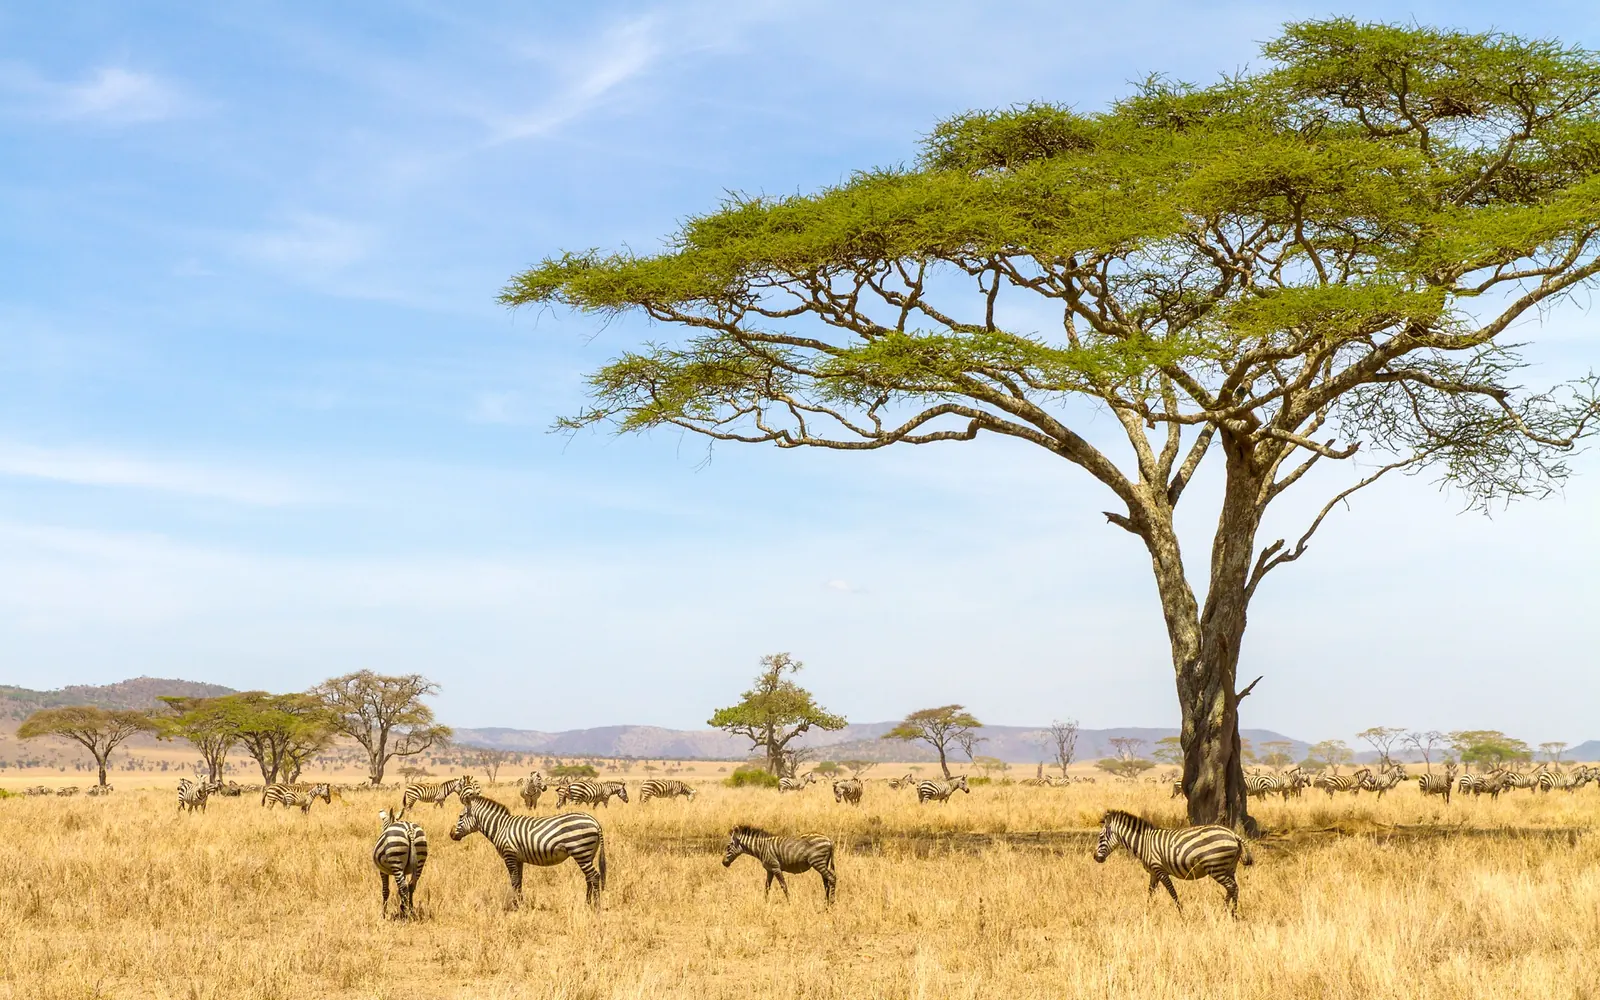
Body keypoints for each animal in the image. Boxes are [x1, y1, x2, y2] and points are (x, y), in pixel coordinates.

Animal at [450, 794, 606, 908]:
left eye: (460, 817)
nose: (451, 835)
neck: (500, 827)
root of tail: (594, 821)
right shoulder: (518, 858)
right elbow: (519, 880)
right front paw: (520, 902)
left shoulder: (509, 855)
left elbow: (514, 880)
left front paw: (516, 905)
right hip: (588, 854)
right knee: (589, 877)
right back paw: (587, 904)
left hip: (581, 851)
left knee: (594, 876)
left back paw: (596, 906)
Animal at [1092, 809, 1253, 917]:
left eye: (1101, 837)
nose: (1095, 858)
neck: (1144, 843)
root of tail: (1234, 834)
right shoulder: (1153, 873)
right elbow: (1150, 892)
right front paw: (1147, 911)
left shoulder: (1160, 869)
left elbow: (1172, 892)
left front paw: (1181, 913)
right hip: (1229, 868)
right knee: (1233, 888)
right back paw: (1226, 912)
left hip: (1216, 867)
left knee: (1232, 887)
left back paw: (1231, 913)